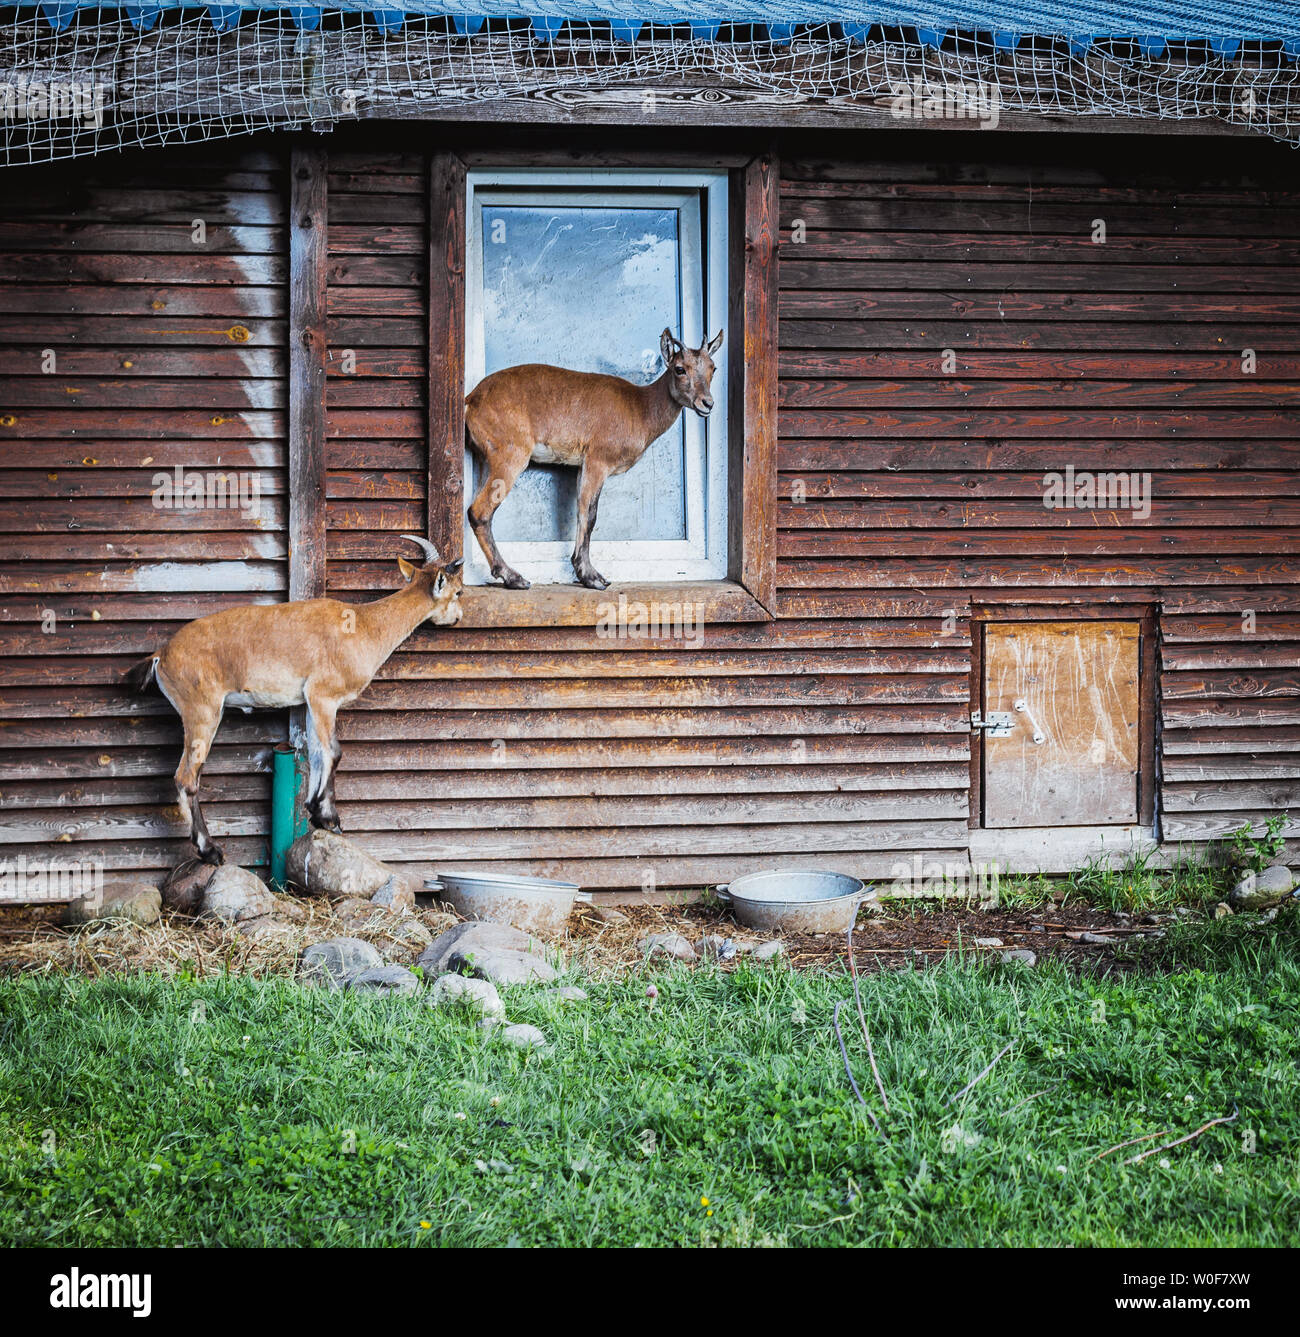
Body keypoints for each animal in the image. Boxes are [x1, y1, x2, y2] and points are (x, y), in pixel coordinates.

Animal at [125, 537, 463, 866]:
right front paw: (329, 818)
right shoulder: (324, 696)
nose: (458, 618)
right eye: (459, 590)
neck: (364, 626)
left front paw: (315, 811)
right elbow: (334, 752)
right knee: (186, 777)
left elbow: (316, 753)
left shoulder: (311, 703)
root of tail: (160, 656)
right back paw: (210, 851)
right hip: (201, 712)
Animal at [465, 326, 723, 591]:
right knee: (480, 511)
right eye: (680, 368)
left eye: (713, 368)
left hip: (487, 461)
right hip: (510, 455)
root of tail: (470, 400)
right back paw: (513, 577)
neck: (640, 408)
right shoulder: (598, 461)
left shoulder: (582, 466)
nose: (707, 404)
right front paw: (593, 577)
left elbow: (581, 512)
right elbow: (589, 514)